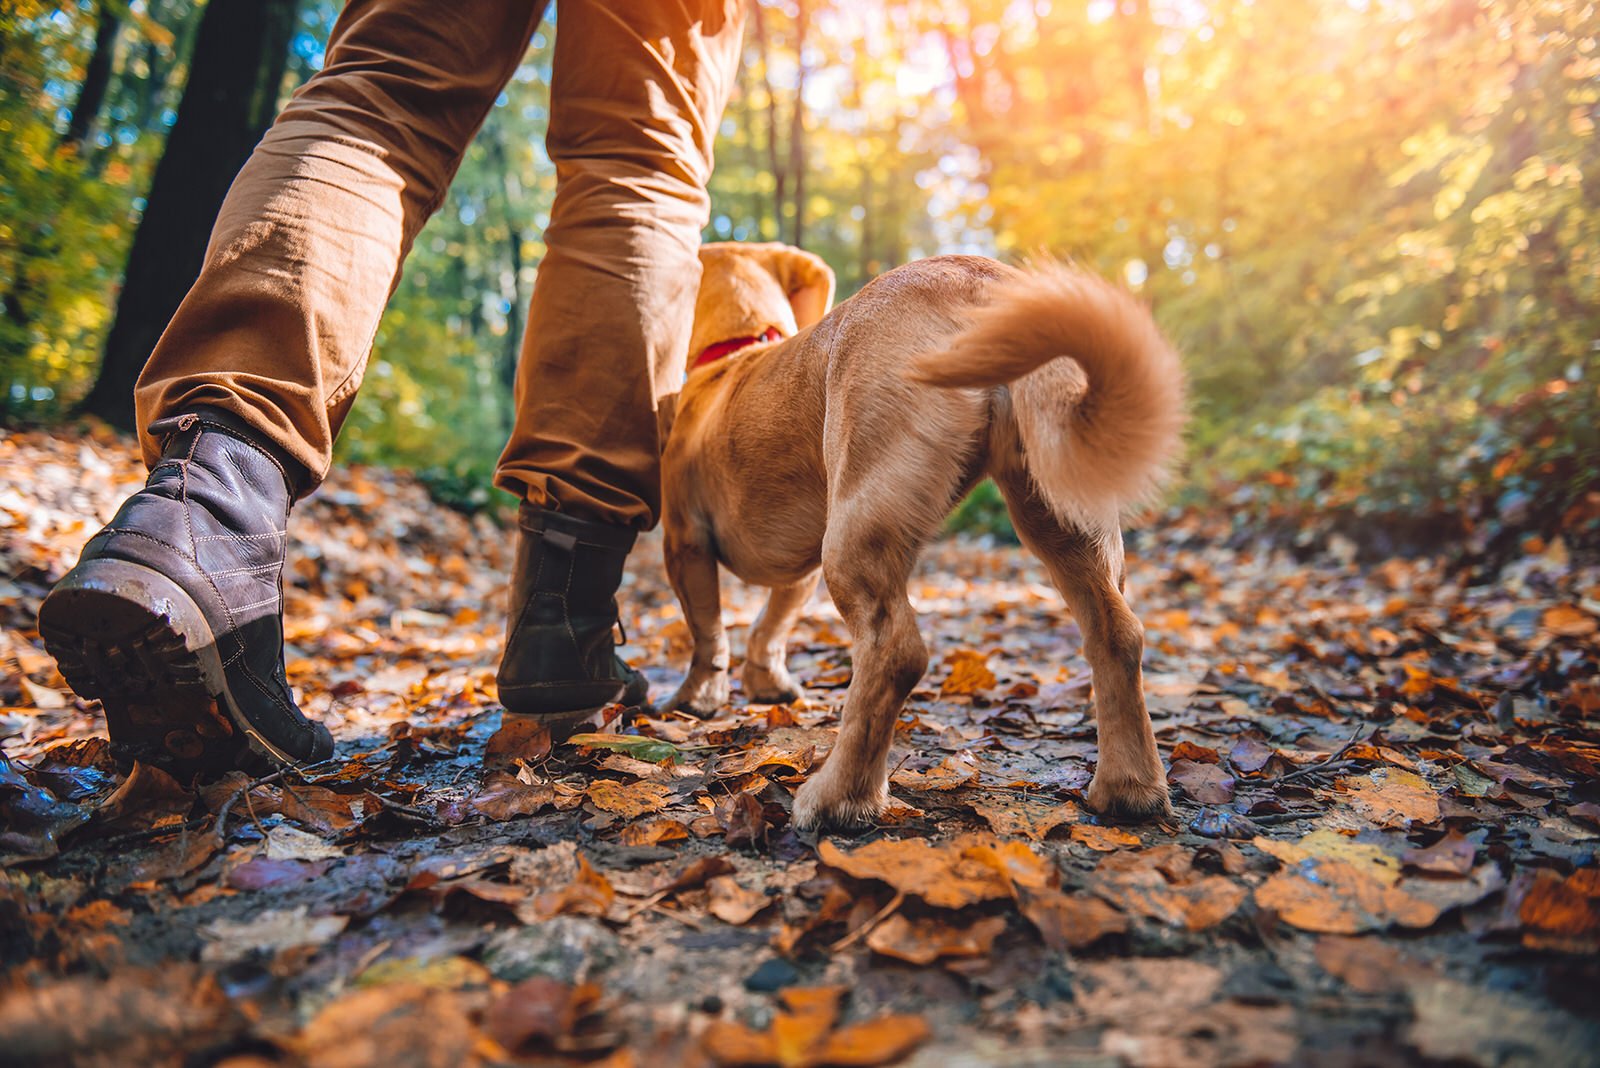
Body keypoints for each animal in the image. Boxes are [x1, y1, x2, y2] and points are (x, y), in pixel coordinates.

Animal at [656, 246, 1184, 831]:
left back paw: (839, 797)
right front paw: (766, 681)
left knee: (895, 652)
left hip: (855, 529)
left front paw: (696, 697)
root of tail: (980, 279)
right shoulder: (798, 571)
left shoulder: (685, 542)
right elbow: (771, 626)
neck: (739, 352)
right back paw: (1130, 787)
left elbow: (709, 633)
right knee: (1118, 635)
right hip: (1061, 515)